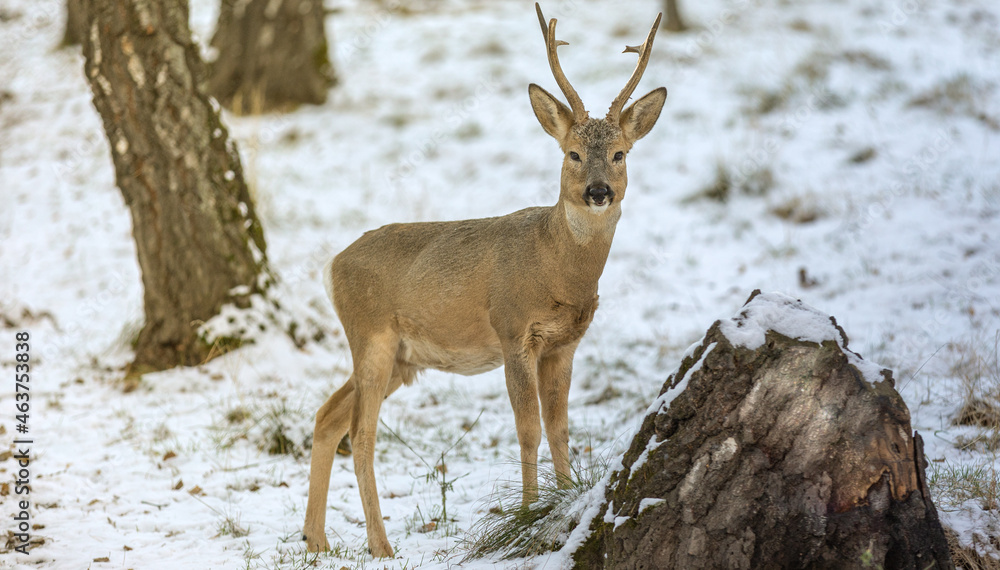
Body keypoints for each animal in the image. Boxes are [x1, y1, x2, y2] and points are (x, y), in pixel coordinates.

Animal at [303, 4, 666, 558]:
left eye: (620, 153)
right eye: (572, 154)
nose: (598, 191)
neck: (555, 268)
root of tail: (332, 266)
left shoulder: (565, 343)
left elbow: (561, 428)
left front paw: (565, 500)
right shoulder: (513, 328)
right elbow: (528, 429)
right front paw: (529, 513)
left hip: (404, 357)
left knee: (328, 416)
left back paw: (316, 541)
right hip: (372, 334)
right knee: (361, 433)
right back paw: (381, 546)